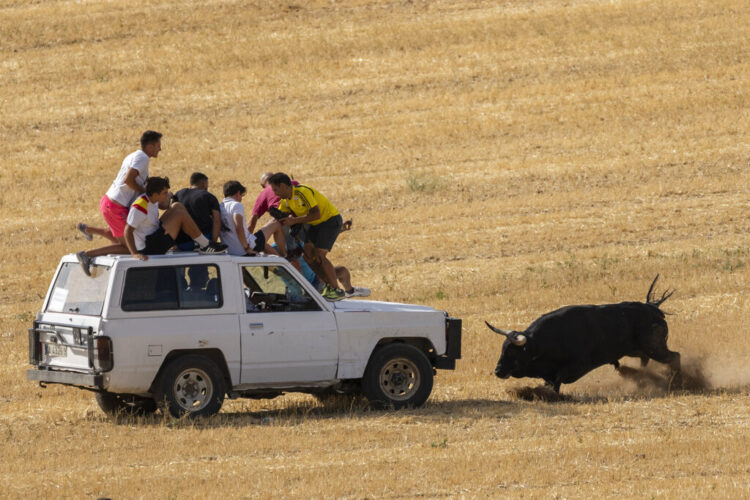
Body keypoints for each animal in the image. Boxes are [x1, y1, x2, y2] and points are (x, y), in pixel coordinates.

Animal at [486, 276, 681, 393]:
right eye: (502, 349)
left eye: (512, 352)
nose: (498, 371)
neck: (540, 343)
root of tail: (653, 308)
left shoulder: (578, 364)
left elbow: (558, 379)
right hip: (639, 350)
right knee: (645, 360)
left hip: (655, 347)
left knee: (674, 356)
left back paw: (676, 382)